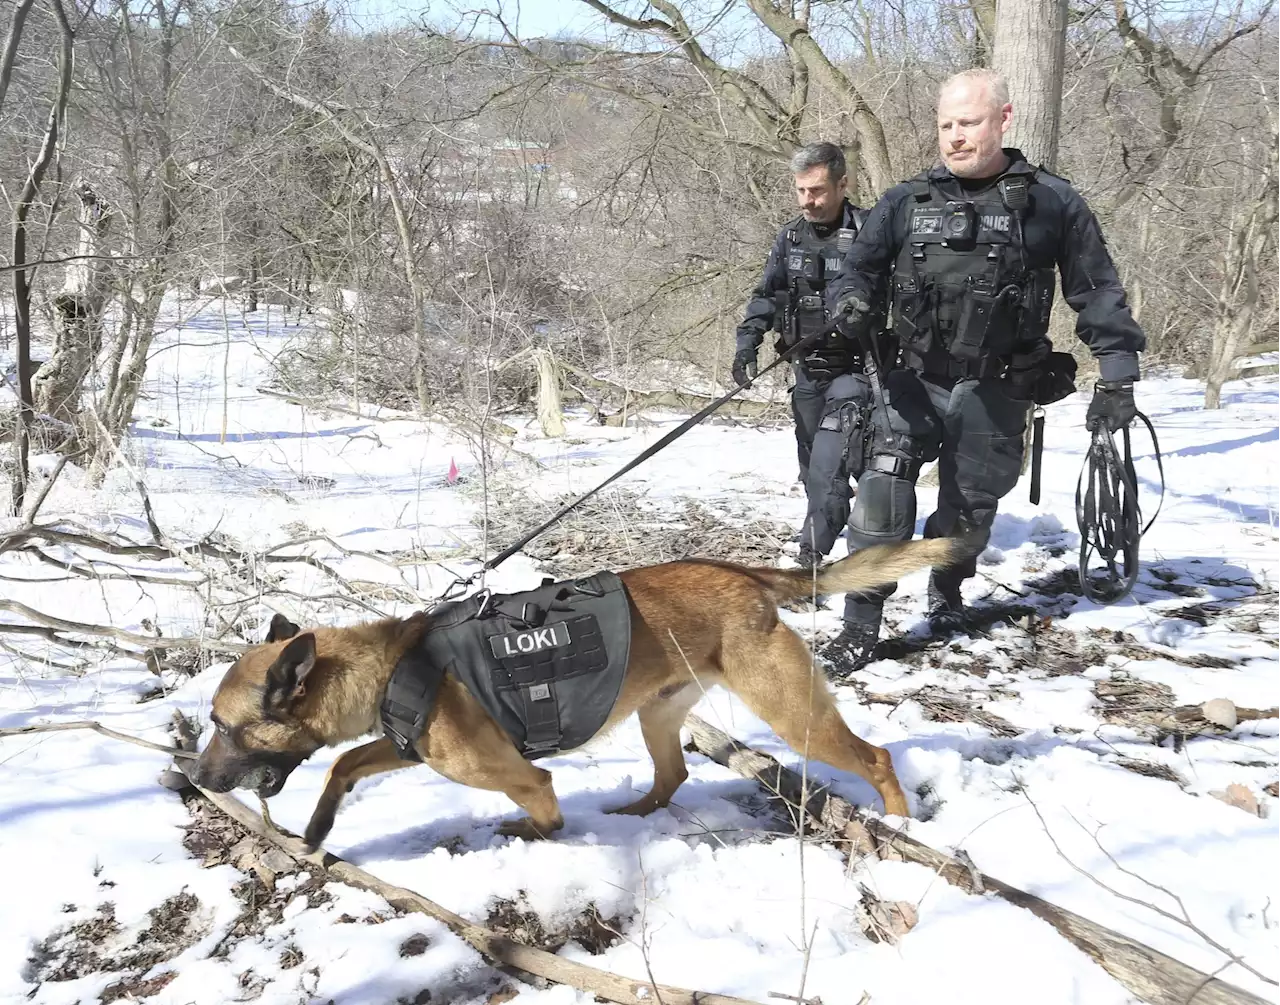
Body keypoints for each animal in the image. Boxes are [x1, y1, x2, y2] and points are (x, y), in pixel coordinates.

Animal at [186, 537, 962, 844]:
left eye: (222, 726)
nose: (194, 779)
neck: (393, 663)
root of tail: (744, 575)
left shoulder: (519, 774)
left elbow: (545, 810)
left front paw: (529, 833)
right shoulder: (406, 748)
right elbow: (345, 762)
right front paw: (319, 826)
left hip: (793, 713)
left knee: (875, 757)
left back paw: (901, 824)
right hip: (659, 715)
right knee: (673, 775)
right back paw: (635, 813)